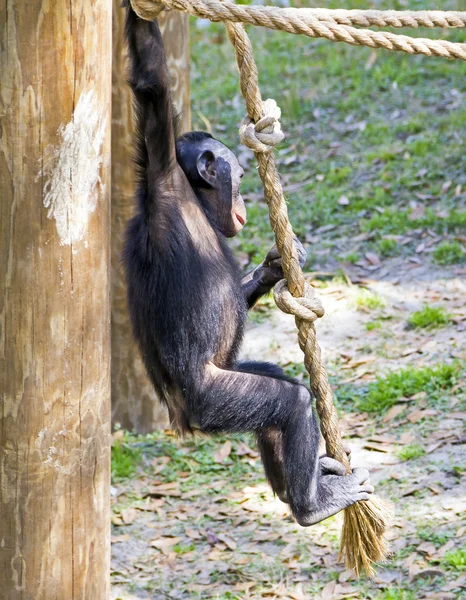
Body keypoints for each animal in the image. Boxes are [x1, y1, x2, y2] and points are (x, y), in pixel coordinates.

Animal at [122, 3, 374, 524]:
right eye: (238, 176)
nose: (244, 203)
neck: (194, 202)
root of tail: (180, 419)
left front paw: (277, 264)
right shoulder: (162, 176)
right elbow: (152, 85)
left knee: (277, 386)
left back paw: (297, 488)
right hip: (214, 402)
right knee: (290, 401)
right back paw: (312, 504)